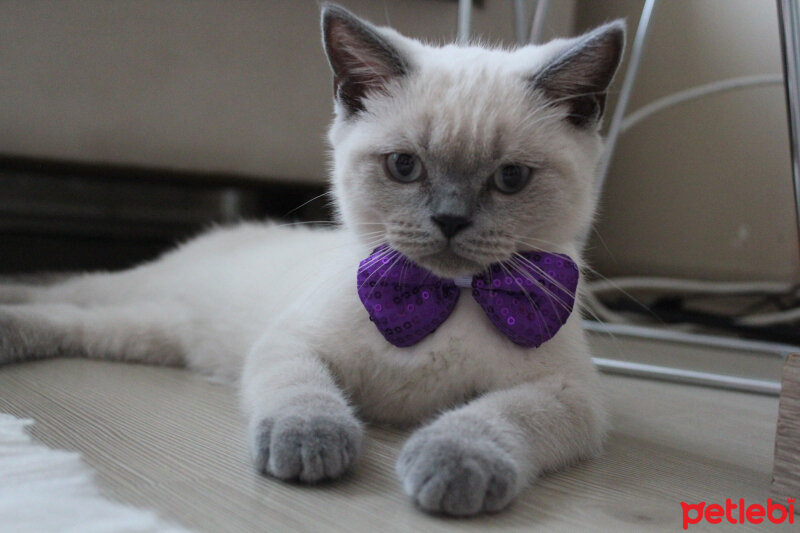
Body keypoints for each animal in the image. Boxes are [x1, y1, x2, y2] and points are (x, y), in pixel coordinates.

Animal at [0, 4, 624, 516]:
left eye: (511, 178)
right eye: (404, 167)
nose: (449, 220)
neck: (443, 295)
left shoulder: (568, 392)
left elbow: (497, 416)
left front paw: (453, 464)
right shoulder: (293, 342)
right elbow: (305, 393)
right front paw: (310, 446)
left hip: (149, 335)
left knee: (74, 322)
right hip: (135, 299)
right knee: (65, 288)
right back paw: (11, 300)